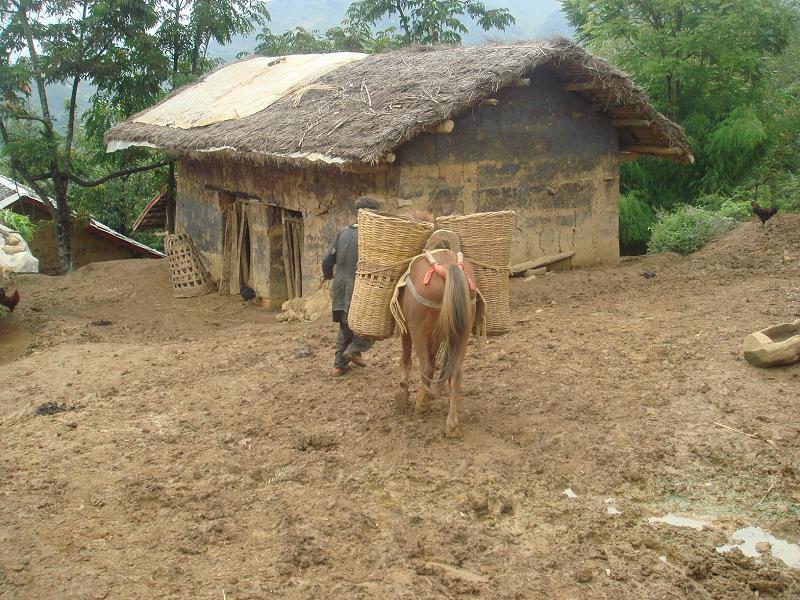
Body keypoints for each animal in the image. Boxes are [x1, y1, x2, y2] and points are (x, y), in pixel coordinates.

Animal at [392, 246, 478, 438]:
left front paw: (402, 394)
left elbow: (406, 359)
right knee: (456, 374)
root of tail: (446, 268)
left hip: (419, 330)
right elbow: (433, 359)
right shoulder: (438, 335)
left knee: (426, 368)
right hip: (462, 333)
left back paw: (421, 405)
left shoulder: (408, 329)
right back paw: (452, 425)